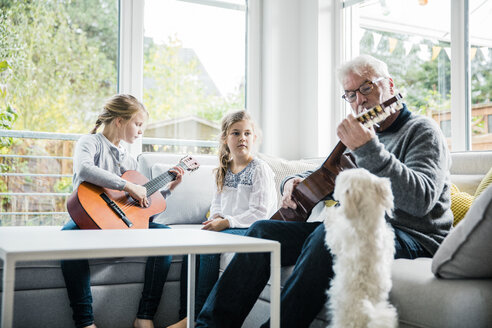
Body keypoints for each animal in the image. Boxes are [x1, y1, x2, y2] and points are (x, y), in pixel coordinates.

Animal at [322, 168, 400, 326]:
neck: (369, 224)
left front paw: (330, 212)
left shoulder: (338, 237)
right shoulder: (388, 240)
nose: (339, 172)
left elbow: (331, 232)